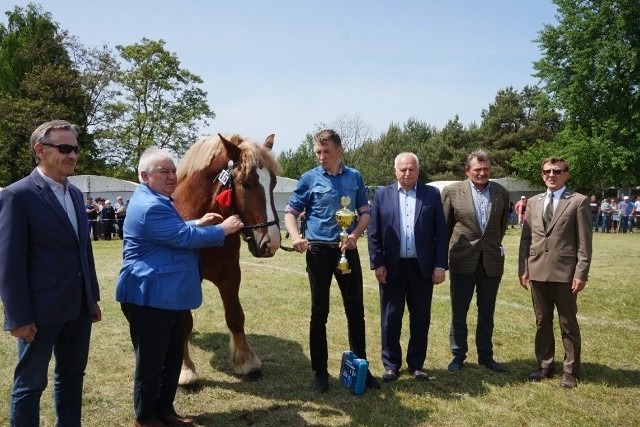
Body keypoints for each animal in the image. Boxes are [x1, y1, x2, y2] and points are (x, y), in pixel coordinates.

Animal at [172, 133, 280, 384]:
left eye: (273, 183)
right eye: (246, 183)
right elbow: (184, 323)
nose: (271, 242)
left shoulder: (230, 275)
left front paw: (247, 362)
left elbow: (235, 316)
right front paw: (185, 369)